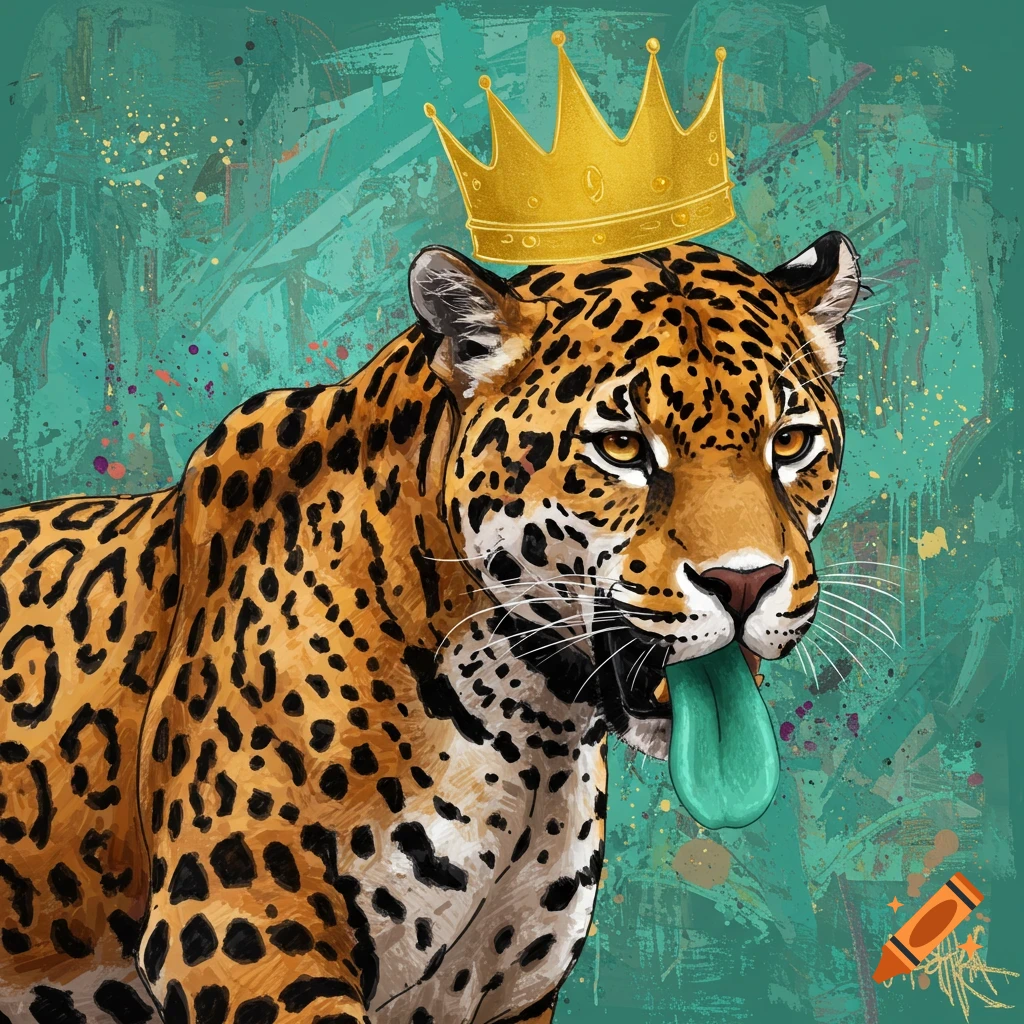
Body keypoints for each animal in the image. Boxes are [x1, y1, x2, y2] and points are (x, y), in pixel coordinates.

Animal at [0, 230, 860, 1024]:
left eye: (790, 441)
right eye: (621, 447)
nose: (744, 581)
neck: (530, 732)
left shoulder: (505, 997)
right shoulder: (237, 931)